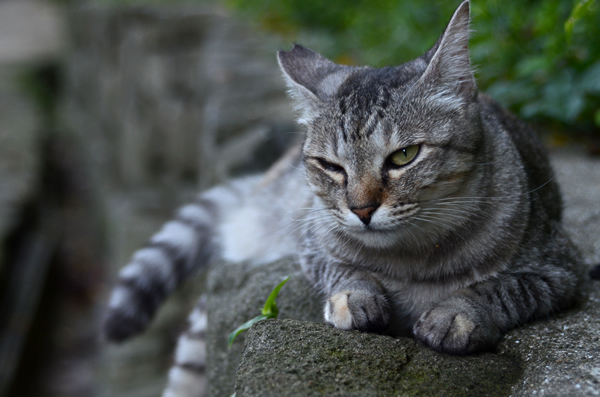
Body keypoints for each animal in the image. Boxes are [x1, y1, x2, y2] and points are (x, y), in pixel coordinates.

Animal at [104, 0, 584, 392]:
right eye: (331, 166)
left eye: (404, 155)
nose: (362, 209)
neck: (412, 261)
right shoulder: (312, 246)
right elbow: (343, 271)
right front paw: (357, 296)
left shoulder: (560, 269)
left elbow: (501, 288)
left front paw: (456, 314)